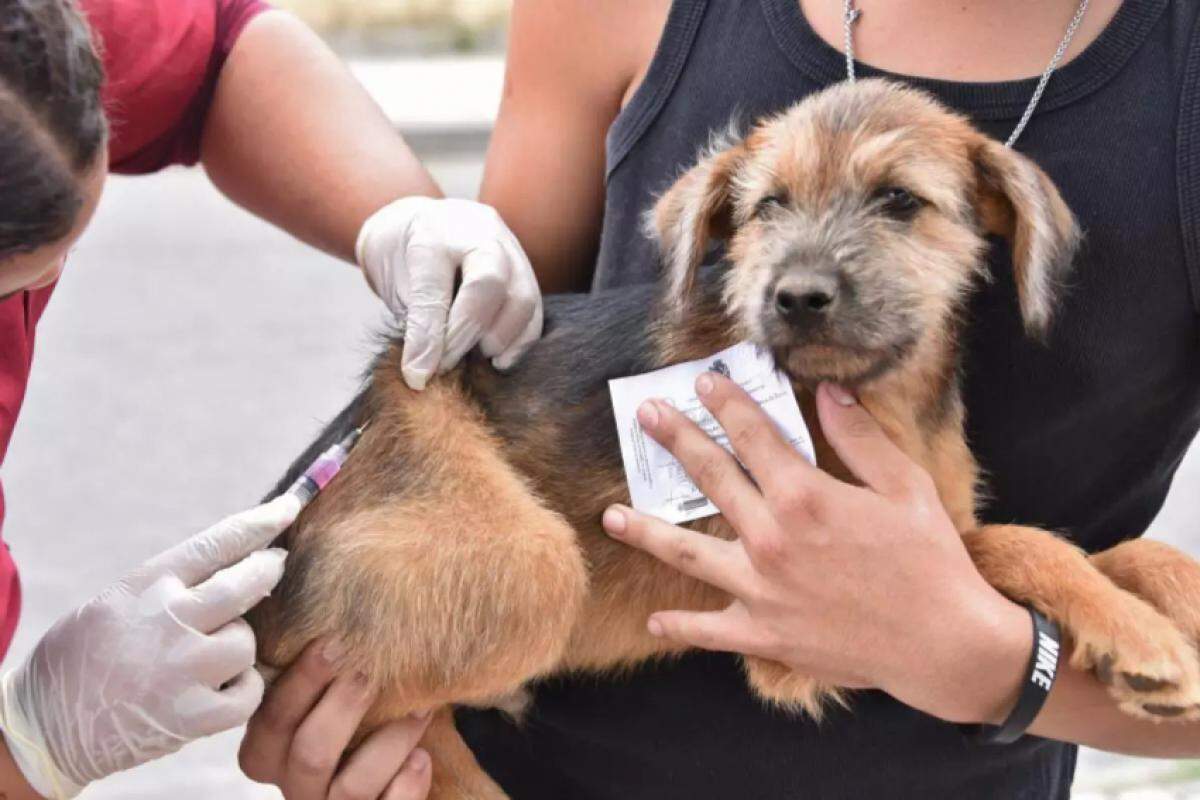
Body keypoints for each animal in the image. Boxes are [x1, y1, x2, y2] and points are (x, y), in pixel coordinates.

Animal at [248, 77, 1200, 796]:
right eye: (768, 206)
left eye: (901, 202)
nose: (798, 297)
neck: (873, 397)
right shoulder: (815, 618)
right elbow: (1025, 542)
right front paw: (1140, 635)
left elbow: (1117, 547)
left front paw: (1170, 601)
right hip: (523, 558)